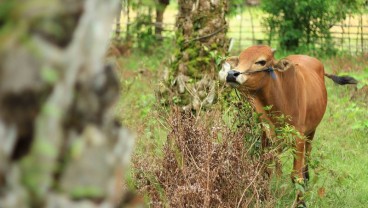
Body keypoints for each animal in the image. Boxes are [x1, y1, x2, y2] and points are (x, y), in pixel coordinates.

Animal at [218, 44, 356, 206]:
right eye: (239, 60)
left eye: (261, 62)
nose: (231, 74)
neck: (281, 99)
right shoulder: (266, 136)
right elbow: (266, 170)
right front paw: (264, 197)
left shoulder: (299, 138)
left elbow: (296, 176)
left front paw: (300, 202)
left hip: (311, 132)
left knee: (307, 157)